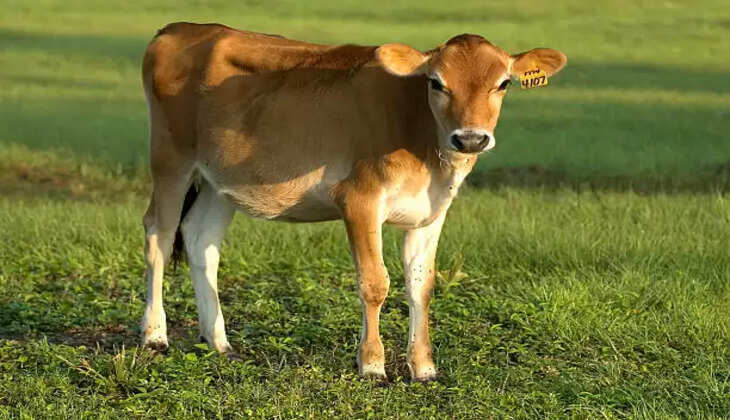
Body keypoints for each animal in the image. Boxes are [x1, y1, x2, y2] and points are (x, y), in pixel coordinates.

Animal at [140, 22, 566, 382]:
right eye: (436, 82)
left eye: (503, 83)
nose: (471, 138)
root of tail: (180, 28)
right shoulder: (359, 199)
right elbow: (374, 282)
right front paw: (372, 364)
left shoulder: (430, 214)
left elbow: (421, 284)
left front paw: (424, 367)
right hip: (170, 158)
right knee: (159, 235)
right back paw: (155, 334)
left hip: (221, 180)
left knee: (201, 241)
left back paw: (219, 341)